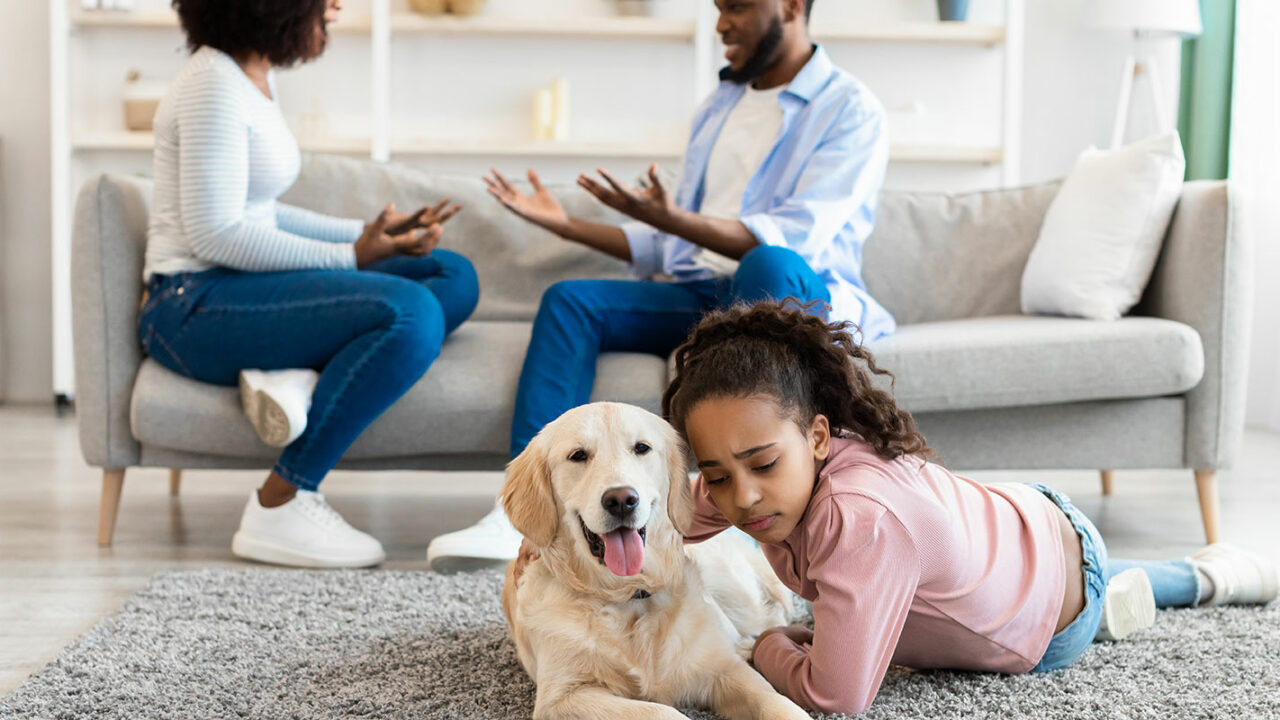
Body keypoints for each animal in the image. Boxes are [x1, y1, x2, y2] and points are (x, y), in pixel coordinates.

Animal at [496, 404, 803, 717]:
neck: (629, 596)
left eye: (641, 448)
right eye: (578, 455)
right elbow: (660, 711)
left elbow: (774, 700)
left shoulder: (724, 668)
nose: (621, 500)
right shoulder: (561, 698)